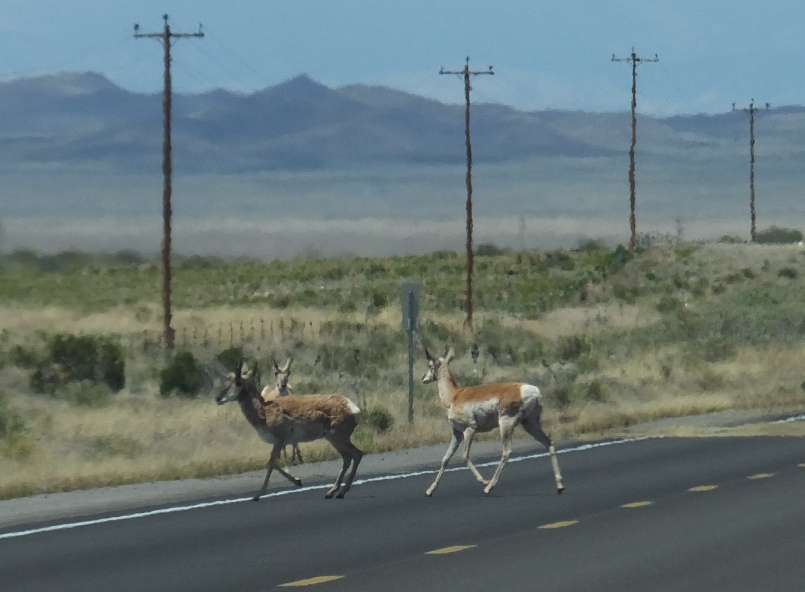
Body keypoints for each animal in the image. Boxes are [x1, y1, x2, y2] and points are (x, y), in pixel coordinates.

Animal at [215, 360, 362, 500]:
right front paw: (297, 481)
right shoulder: (280, 442)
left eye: (238, 382)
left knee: (357, 454)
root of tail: (351, 406)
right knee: (347, 458)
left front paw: (258, 494)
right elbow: (273, 463)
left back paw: (341, 492)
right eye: (228, 379)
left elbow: (271, 463)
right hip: (333, 439)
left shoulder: (279, 440)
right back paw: (332, 492)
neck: (264, 410)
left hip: (338, 438)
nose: (218, 398)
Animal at [424, 344, 564, 498]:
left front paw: (483, 481)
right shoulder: (457, 434)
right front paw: (430, 490)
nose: (424, 378)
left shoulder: (470, 429)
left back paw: (489, 486)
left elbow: (465, 456)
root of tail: (533, 391)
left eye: (430, 364)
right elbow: (445, 458)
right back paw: (559, 486)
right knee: (548, 443)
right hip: (530, 424)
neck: (455, 396)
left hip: (506, 424)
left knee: (506, 452)